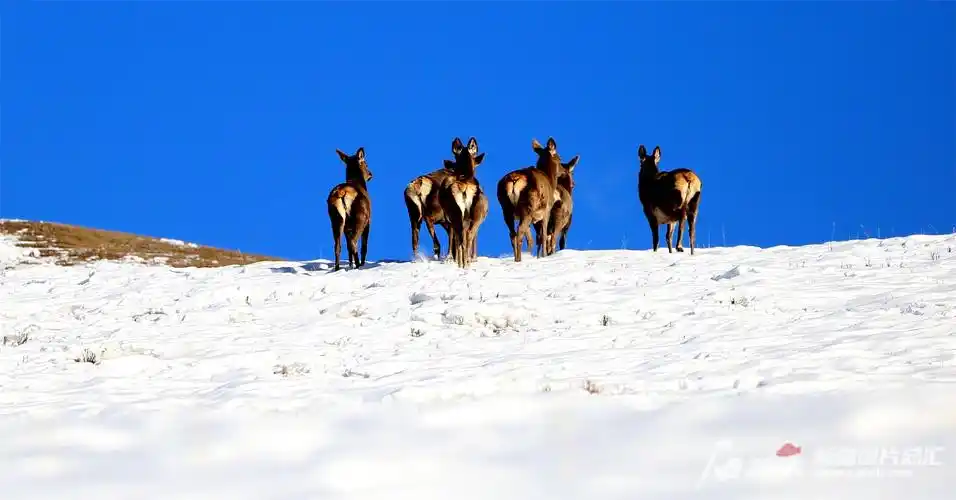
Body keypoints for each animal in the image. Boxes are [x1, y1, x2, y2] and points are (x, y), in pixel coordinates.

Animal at [437, 136, 486, 269]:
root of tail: (464, 188)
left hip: (456, 215)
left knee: (462, 237)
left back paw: (462, 263)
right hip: (474, 216)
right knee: (468, 235)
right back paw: (465, 263)